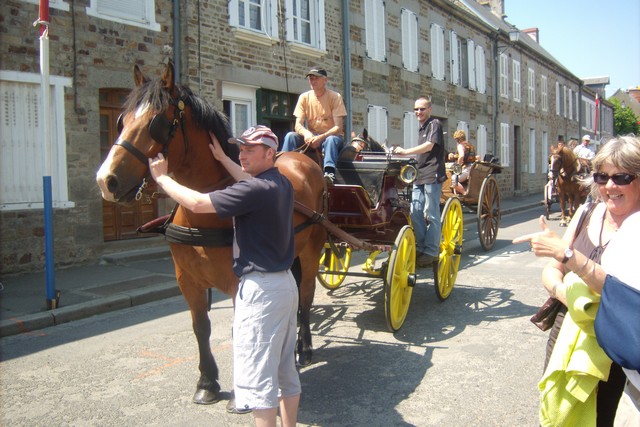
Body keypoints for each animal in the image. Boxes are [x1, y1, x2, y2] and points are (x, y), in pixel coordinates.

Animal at [96, 61, 324, 404]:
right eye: (122, 120)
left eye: (157, 123)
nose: (106, 180)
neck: (202, 210)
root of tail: (300, 158)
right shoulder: (187, 280)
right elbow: (201, 327)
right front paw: (207, 383)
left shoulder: (238, 281)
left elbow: (238, 329)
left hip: (312, 250)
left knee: (306, 295)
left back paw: (305, 347)